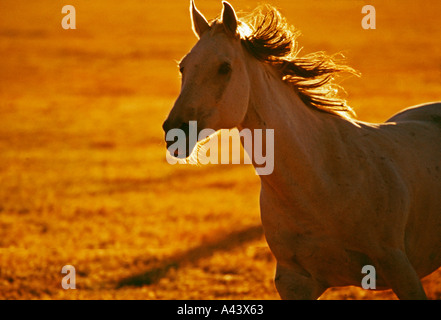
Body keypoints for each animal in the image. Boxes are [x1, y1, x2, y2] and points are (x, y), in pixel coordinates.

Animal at [162, 0, 440, 300]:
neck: (322, 180)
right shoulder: (294, 281)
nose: (174, 131)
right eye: (183, 67)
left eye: (224, 67)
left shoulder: (400, 269)